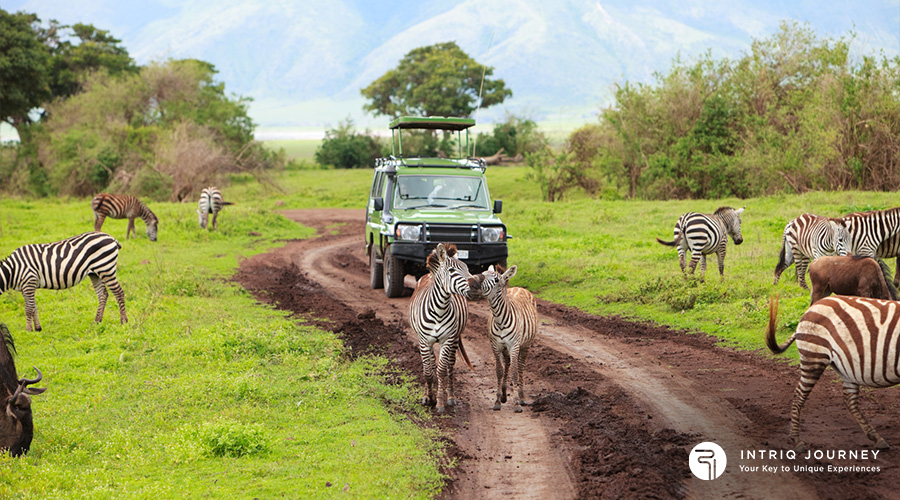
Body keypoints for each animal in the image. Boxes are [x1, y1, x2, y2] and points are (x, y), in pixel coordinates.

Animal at [0, 231, 128, 332]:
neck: (12, 269)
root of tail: (111, 237)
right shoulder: (26, 287)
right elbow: (33, 307)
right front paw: (37, 328)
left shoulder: (29, 282)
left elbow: (28, 308)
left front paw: (29, 330)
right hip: (95, 273)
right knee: (103, 295)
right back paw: (96, 322)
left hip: (106, 268)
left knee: (119, 292)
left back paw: (123, 321)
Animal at [410, 243, 478, 414]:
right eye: (452, 270)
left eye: (467, 268)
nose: (476, 285)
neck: (439, 309)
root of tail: (428, 274)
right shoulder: (423, 341)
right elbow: (427, 371)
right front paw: (429, 398)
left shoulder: (447, 339)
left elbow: (441, 370)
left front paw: (439, 402)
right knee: (431, 363)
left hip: (454, 338)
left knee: (450, 365)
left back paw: (451, 397)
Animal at [478, 264, 536, 412]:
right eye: (483, 274)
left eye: (496, 280)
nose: (474, 282)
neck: (500, 320)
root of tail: (519, 288)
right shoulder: (496, 346)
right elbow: (499, 371)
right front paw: (498, 401)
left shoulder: (514, 345)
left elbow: (515, 373)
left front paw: (516, 403)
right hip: (506, 349)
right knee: (508, 364)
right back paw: (504, 394)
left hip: (525, 345)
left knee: (520, 367)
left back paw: (521, 397)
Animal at [768, 294, 900, 452]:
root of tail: (813, 306)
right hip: (813, 357)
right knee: (798, 395)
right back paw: (797, 441)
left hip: (846, 369)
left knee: (850, 400)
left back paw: (877, 438)